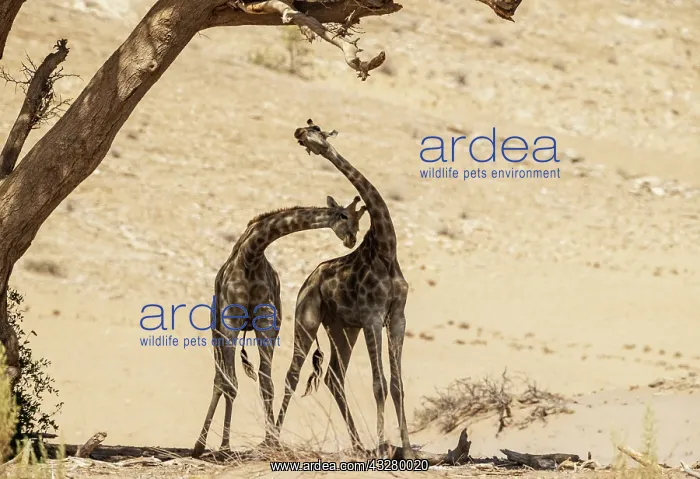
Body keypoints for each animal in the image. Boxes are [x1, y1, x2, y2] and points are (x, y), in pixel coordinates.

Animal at [192, 195, 366, 458]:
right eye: (344, 215)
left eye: (359, 220)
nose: (352, 239)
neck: (251, 255)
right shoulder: (231, 322)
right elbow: (230, 384)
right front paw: (224, 447)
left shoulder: (267, 325)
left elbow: (266, 383)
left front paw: (271, 441)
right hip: (216, 331)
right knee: (219, 379)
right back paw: (200, 445)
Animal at [274, 119, 415, 459]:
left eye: (316, 130)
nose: (299, 132)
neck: (386, 249)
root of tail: (308, 280)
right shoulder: (373, 316)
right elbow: (379, 384)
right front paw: (383, 448)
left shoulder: (397, 317)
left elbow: (397, 384)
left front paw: (407, 450)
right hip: (308, 319)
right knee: (292, 375)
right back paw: (270, 440)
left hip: (342, 328)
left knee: (334, 377)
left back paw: (358, 445)